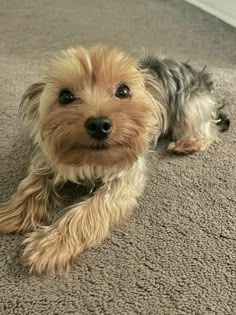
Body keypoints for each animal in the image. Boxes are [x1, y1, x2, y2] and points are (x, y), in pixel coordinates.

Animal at [0, 45, 230, 276]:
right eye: (65, 97)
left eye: (123, 91)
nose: (99, 124)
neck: (92, 158)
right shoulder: (48, 156)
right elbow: (33, 182)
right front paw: (14, 213)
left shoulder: (124, 177)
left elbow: (91, 209)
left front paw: (52, 245)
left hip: (190, 104)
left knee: (206, 128)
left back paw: (188, 143)